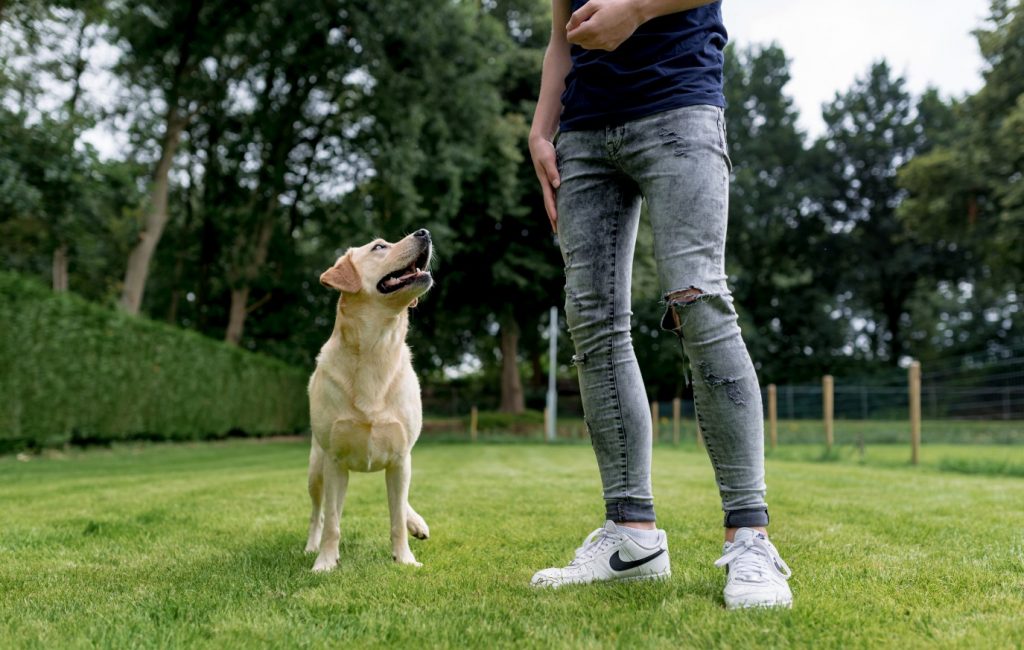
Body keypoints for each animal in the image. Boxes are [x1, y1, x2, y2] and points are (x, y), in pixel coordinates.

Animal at [303, 227, 432, 569]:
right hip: (317, 469)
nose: (425, 232)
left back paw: (417, 522)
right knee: (319, 512)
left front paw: (405, 559)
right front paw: (324, 562)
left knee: (401, 502)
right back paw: (311, 545)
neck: (378, 347)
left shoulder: (401, 457)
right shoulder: (335, 460)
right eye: (379, 247)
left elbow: (396, 518)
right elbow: (332, 522)